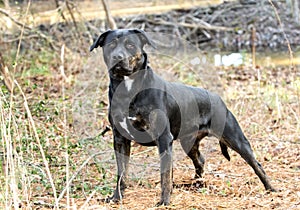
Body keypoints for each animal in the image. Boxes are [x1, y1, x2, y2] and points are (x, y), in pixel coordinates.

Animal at [90, 28, 276, 206]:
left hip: (235, 138)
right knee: (200, 160)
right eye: (111, 45)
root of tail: (217, 98)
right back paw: (198, 183)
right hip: (189, 142)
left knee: (256, 164)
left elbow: (165, 175)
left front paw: (164, 201)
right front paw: (116, 198)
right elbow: (121, 173)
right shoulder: (120, 139)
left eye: (130, 45)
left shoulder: (164, 139)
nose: (117, 57)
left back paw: (271, 189)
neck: (128, 89)